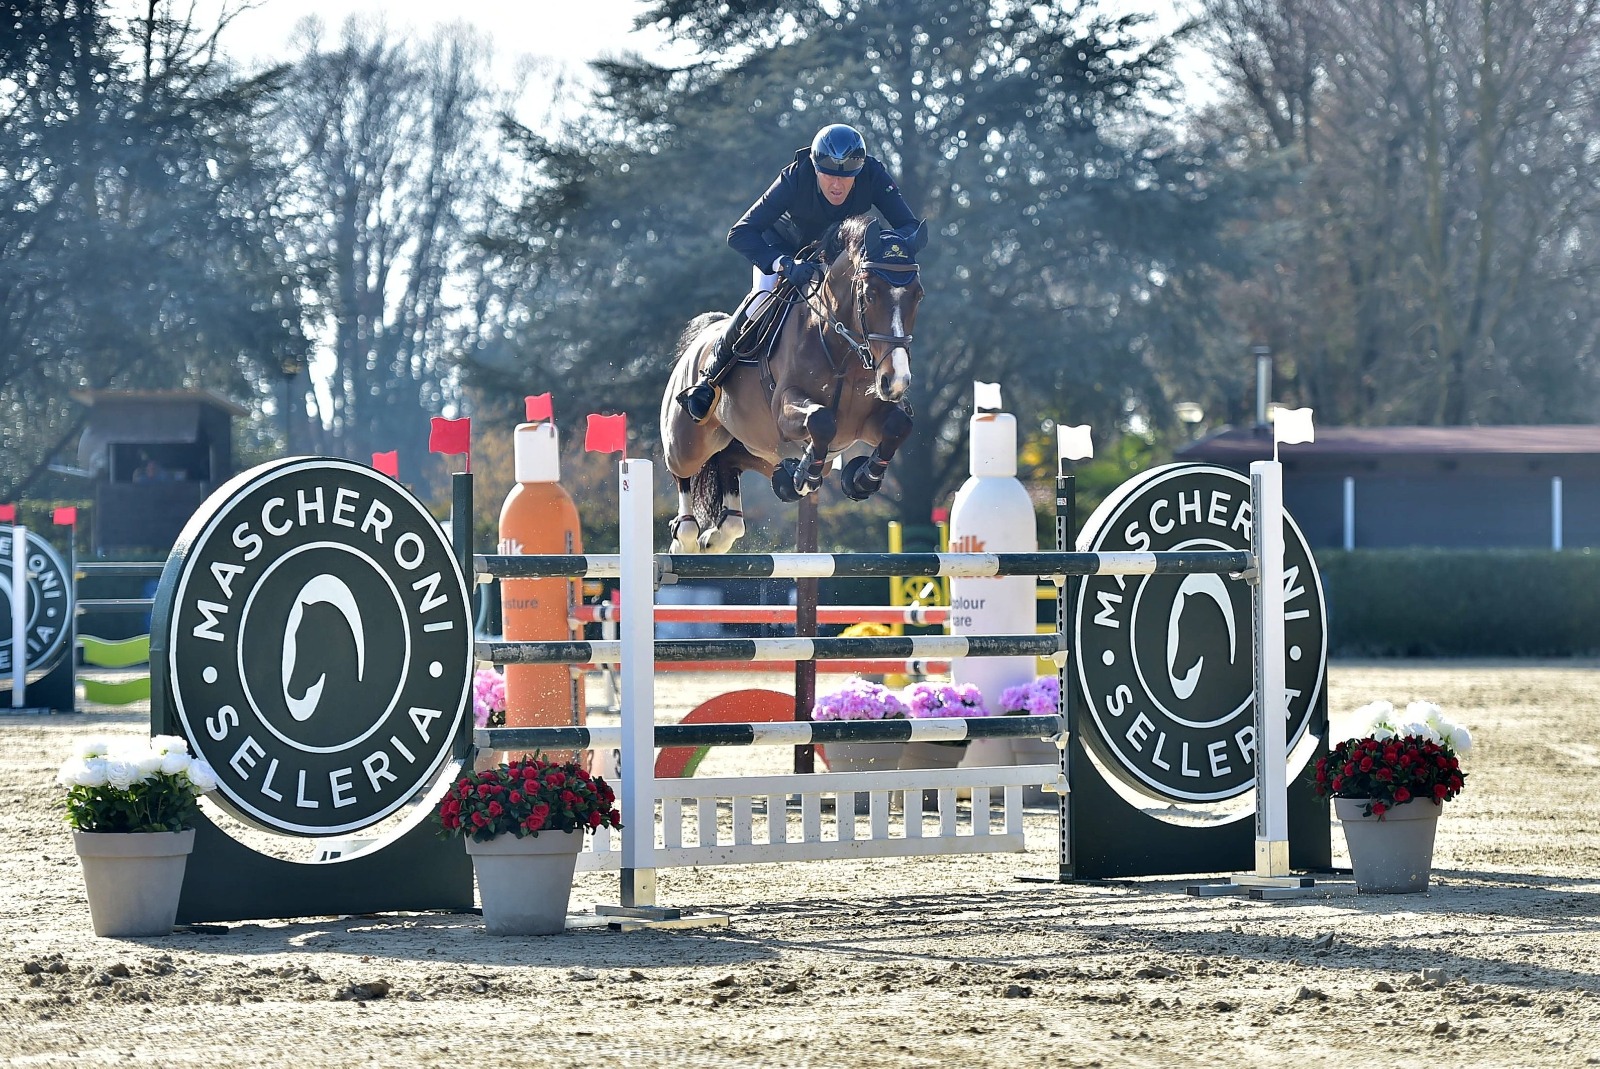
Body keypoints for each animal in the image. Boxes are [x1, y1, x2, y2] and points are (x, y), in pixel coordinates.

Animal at [656, 214, 928, 556]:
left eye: (918, 295)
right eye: (869, 295)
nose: (896, 381)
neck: (843, 352)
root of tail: (701, 338)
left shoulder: (864, 422)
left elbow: (899, 425)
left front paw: (862, 478)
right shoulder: (785, 408)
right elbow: (821, 419)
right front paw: (806, 473)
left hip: (758, 450)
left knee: (729, 464)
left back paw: (720, 534)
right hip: (687, 441)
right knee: (683, 472)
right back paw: (687, 536)